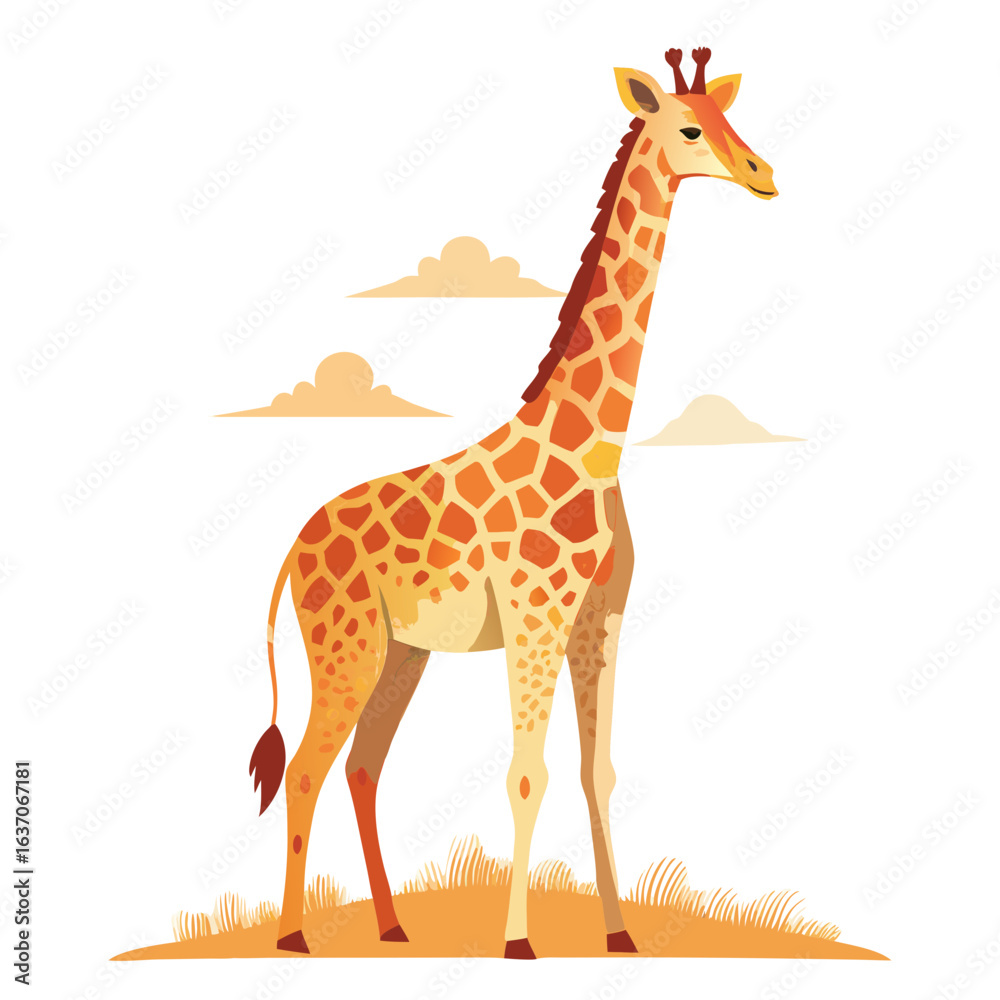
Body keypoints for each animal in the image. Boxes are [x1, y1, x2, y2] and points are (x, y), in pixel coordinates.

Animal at [248, 47, 777, 959]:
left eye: (730, 118)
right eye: (689, 128)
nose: (762, 173)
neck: (591, 448)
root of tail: (293, 548)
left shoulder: (600, 615)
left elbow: (596, 772)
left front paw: (620, 935)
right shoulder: (536, 613)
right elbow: (526, 774)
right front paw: (519, 943)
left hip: (402, 652)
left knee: (362, 766)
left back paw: (393, 925)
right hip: (343, 646)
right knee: (310, 765)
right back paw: (292, 938)